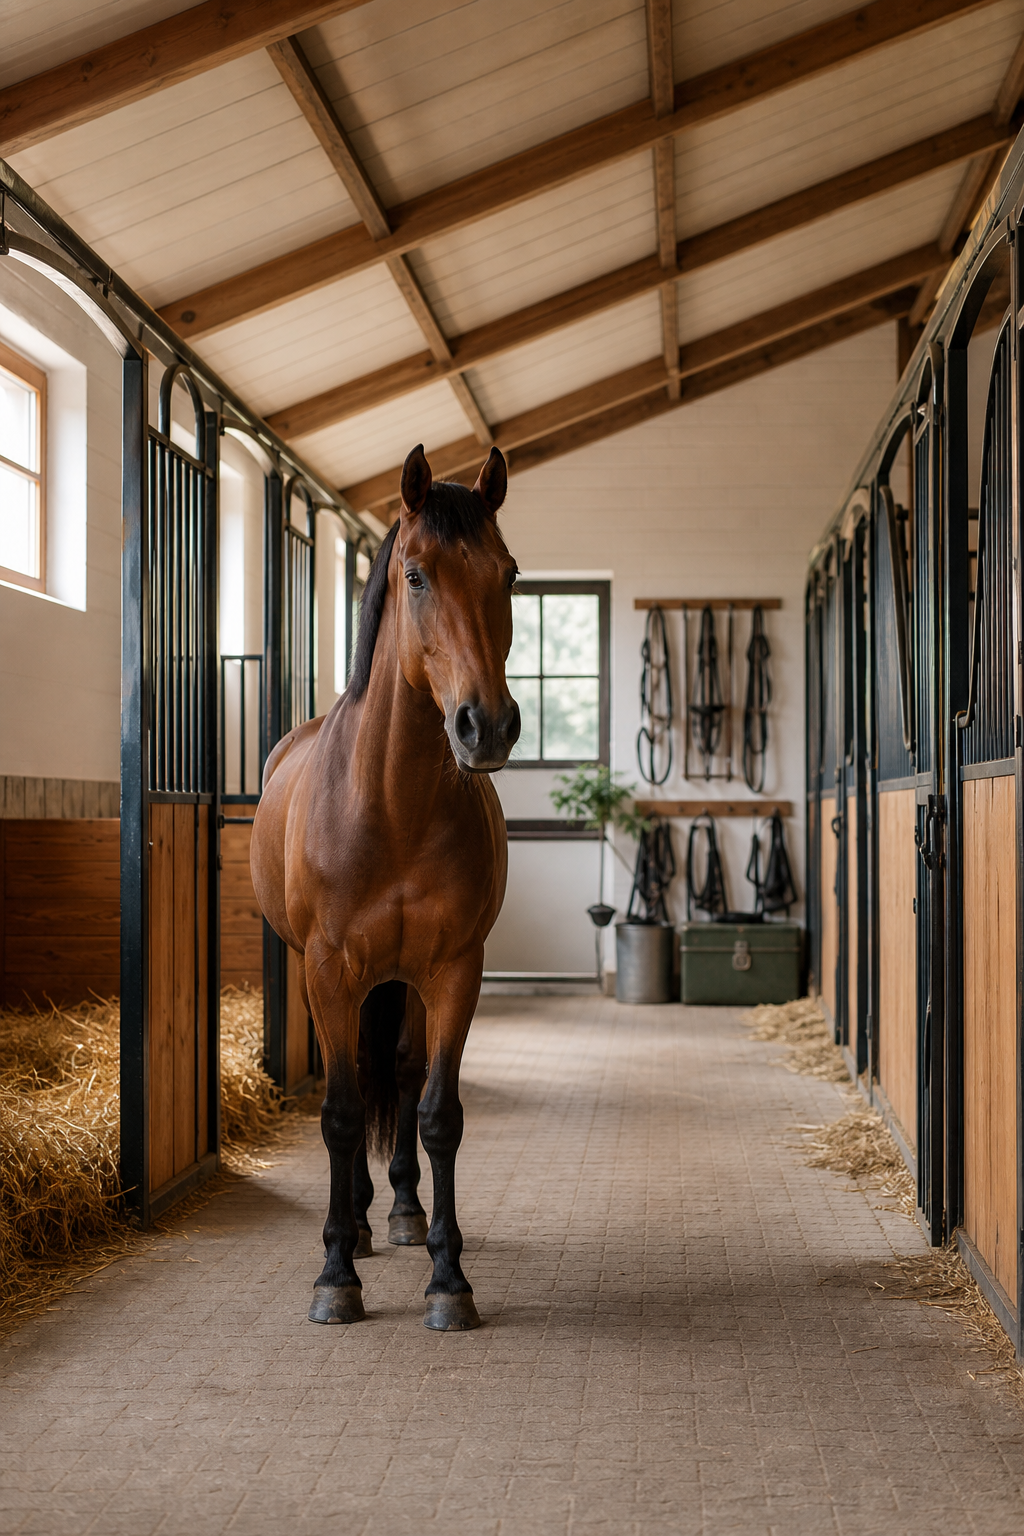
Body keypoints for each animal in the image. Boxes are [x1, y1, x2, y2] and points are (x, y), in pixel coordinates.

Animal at [250, 443, 520, 1331]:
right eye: (415, 573)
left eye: (508, 573)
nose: (487, 725)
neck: (391, 805)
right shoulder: (329, 971)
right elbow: (338, 1113)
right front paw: (336, 1270)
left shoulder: (454, 970)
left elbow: (437, 1113)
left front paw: (448, 1276)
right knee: (363, 1083)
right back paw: (363, 1226)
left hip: (405, 981)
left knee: (398, 1075)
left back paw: (399, 1212)